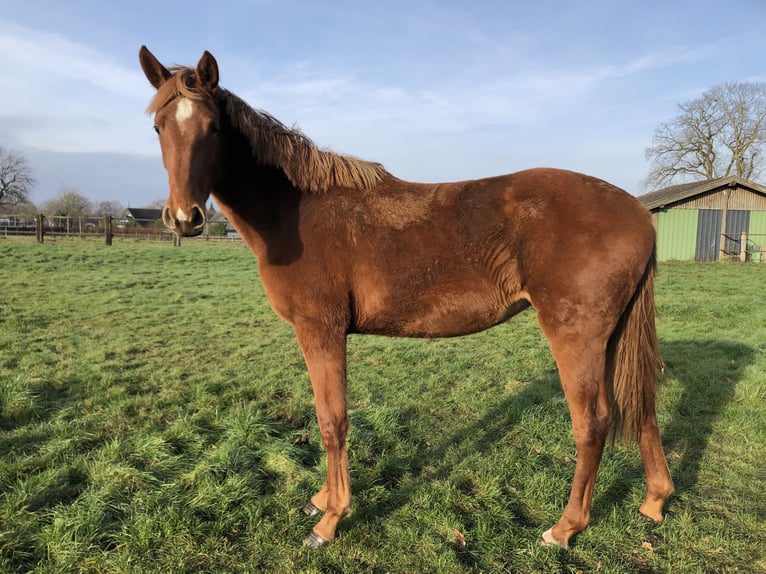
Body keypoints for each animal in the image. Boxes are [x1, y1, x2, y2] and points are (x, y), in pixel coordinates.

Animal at [138, 46, 674, 550]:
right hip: (611, 335)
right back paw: (654, 500)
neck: (295, 213)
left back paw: (564, 528)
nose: (183, 218)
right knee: (640, 406)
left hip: (575, 334)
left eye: (212, 127)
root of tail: (637, 213)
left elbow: (332, 421)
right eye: (158, 127)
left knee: (593, 422)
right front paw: (322, 500)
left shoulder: (322, 330)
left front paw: (330, 519)